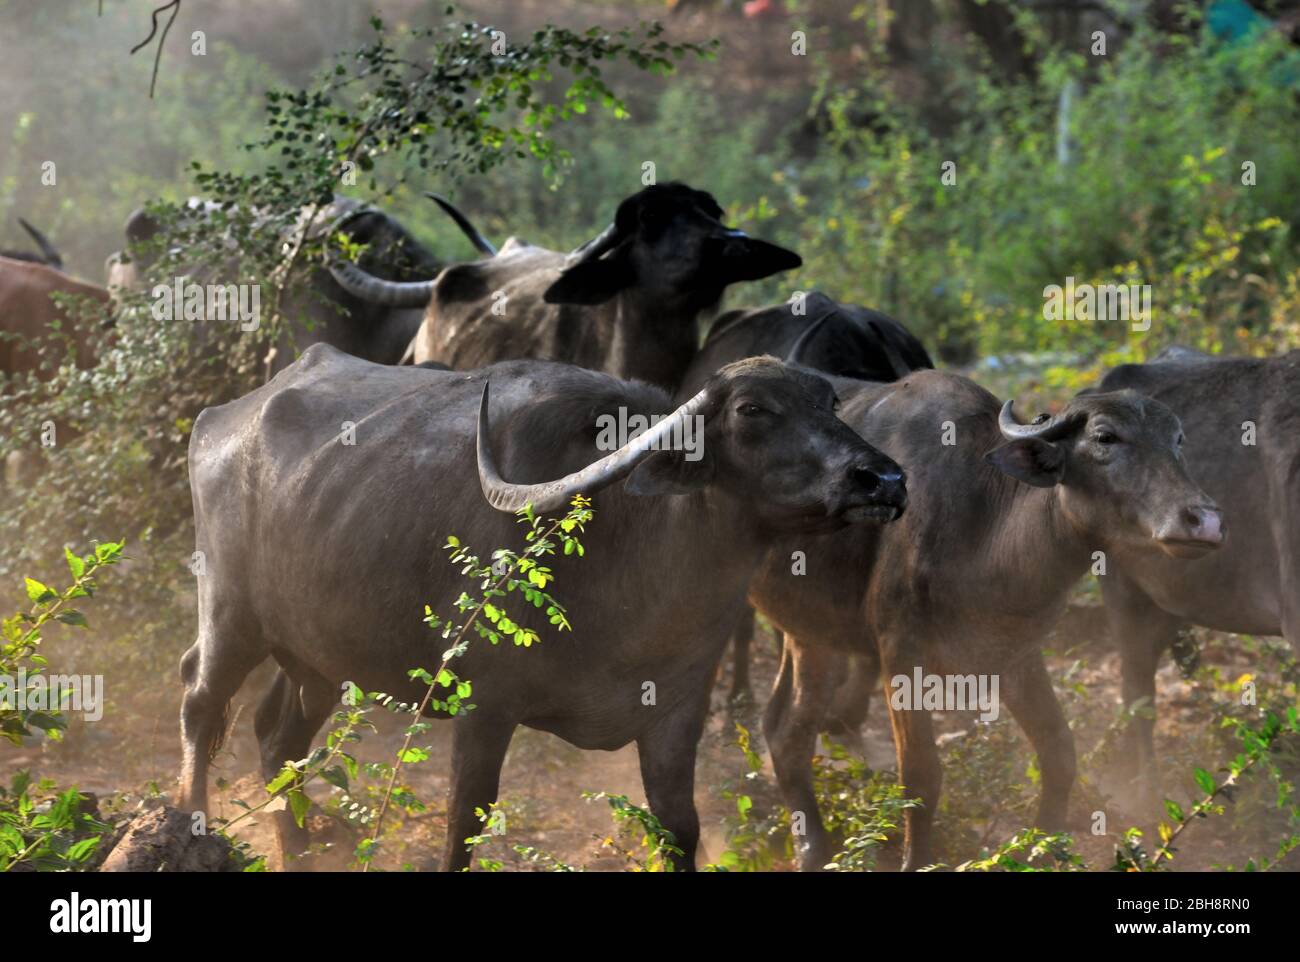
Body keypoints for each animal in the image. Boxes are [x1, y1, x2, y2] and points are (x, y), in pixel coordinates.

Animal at [180, 343, 904, 868]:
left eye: (830, 399)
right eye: (752, 410)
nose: (885, 478)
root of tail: (224, 418)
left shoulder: (675, 717)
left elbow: (681, 828)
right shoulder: (483, 709)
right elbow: (464, 824)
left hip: (317, 656)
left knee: (278, 738)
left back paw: (299, 851)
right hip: (229, 614)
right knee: (200, 701)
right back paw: (191, 825)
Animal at [748, 369, 1222, 873]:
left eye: (1177, 440)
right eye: (1105, 437)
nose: (1205, 520)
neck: (982, 528)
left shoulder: (1017, 654)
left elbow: (1059, 752)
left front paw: (1041, 848)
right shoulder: (900, 655)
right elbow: (920, 776)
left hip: (807, 630)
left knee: (783, 730)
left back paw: (811, 847)